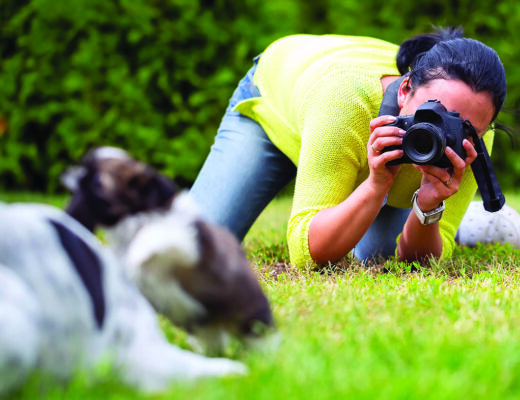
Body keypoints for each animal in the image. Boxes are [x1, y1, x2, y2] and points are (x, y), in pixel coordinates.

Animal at [62, 147, 276, 354]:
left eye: (96, 180)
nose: (69, 174)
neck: (134, 220)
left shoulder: (186, 243)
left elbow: (158, 235)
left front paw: (139, 251)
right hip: (206, 330)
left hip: (252, 319)